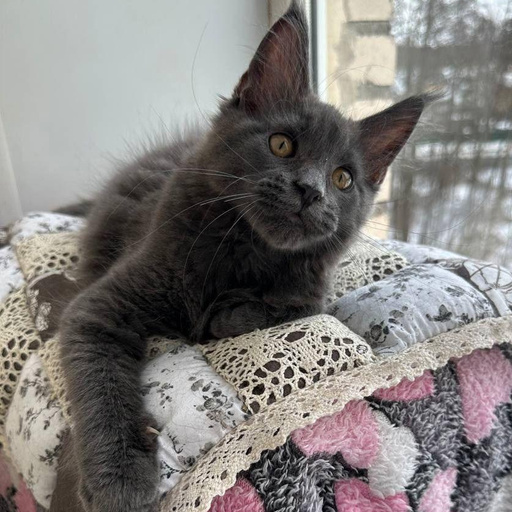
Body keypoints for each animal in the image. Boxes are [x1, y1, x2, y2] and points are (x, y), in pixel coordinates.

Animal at [59, 2, 435, 511]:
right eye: (282, 144)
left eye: (343, 178)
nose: (310, 191)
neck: (247, 249)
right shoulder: (99, 309)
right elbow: (102, 386)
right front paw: (118, 483)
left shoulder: (311, 296)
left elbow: (273, 309)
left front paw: (220, 316)